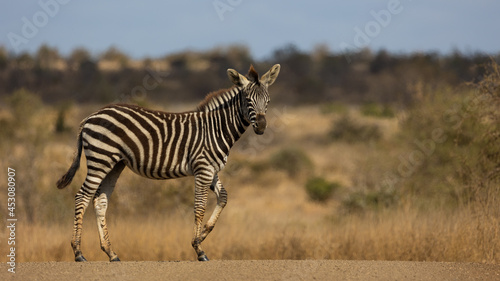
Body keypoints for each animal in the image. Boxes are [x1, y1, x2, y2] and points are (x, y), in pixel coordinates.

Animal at [56, 63, 282, 260]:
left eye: (268, 100)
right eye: (248, 99)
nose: (262, 126)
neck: (216, 128)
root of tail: (90, 116)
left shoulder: (212, 170)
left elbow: (224, 197)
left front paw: (203, 234)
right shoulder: (202, 169)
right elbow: (199, 207)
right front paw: (198, 249)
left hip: (114, 164)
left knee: (100, 201)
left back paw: (111, 253)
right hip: (100, 159)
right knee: (82, 197)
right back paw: (78, 252)